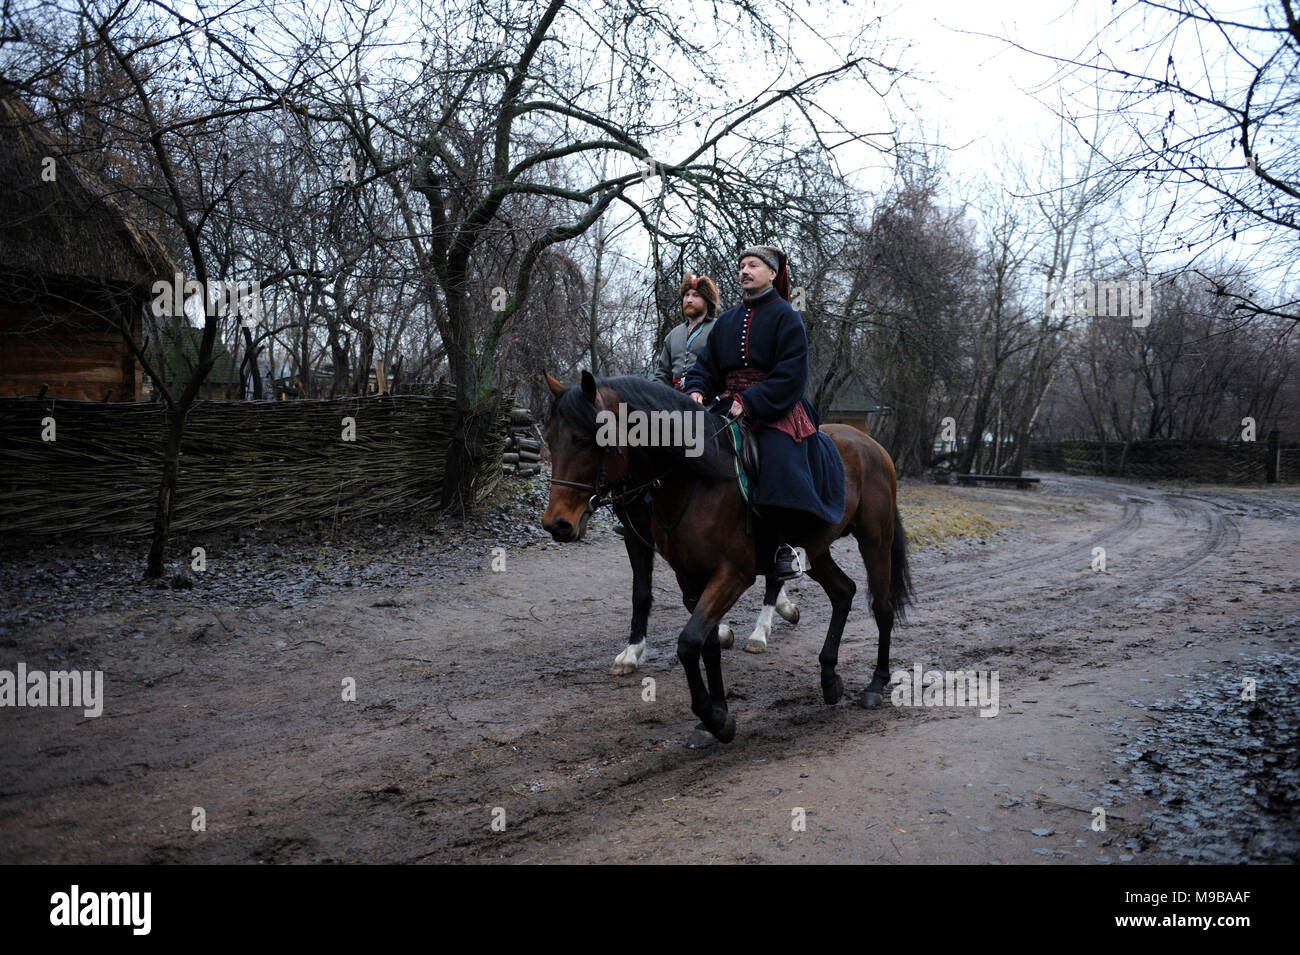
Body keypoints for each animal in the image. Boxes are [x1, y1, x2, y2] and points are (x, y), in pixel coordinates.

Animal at [538, 369, 915, 743]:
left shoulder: (732, 575)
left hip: (875, 541)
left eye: (586, 440)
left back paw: (875, 682)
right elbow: (702, 642)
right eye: (551, 439)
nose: (558, 524)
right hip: (817, 550)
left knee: (880, 605)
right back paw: (829, 677)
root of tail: (871, 445)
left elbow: (689, 642)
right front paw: (713, 714)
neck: (695, 480)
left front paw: (715, 717)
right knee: (843, 592)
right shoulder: (688, 577)